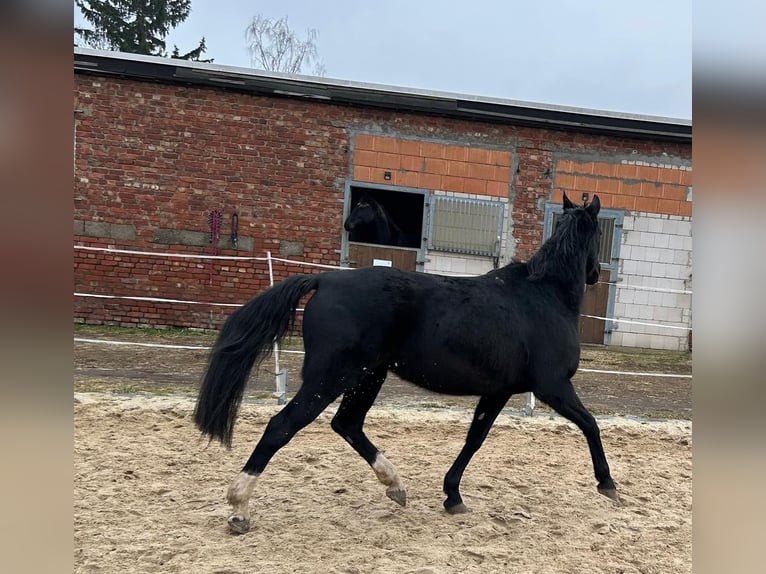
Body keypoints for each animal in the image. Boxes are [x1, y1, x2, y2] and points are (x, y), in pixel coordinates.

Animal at [196, 194, 616, 536]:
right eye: (599, 235)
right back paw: (239, 511)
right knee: (282, 426)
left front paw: (452, 496)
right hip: (332, 377)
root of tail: (325, 280)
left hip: (367, 376)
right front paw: (608, 485)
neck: (544, 295)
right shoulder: (553, 386)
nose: (596, 273)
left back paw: (395, 486)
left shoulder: (497, 392)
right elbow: (590, 424)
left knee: (347, 424)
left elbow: (474, 439)